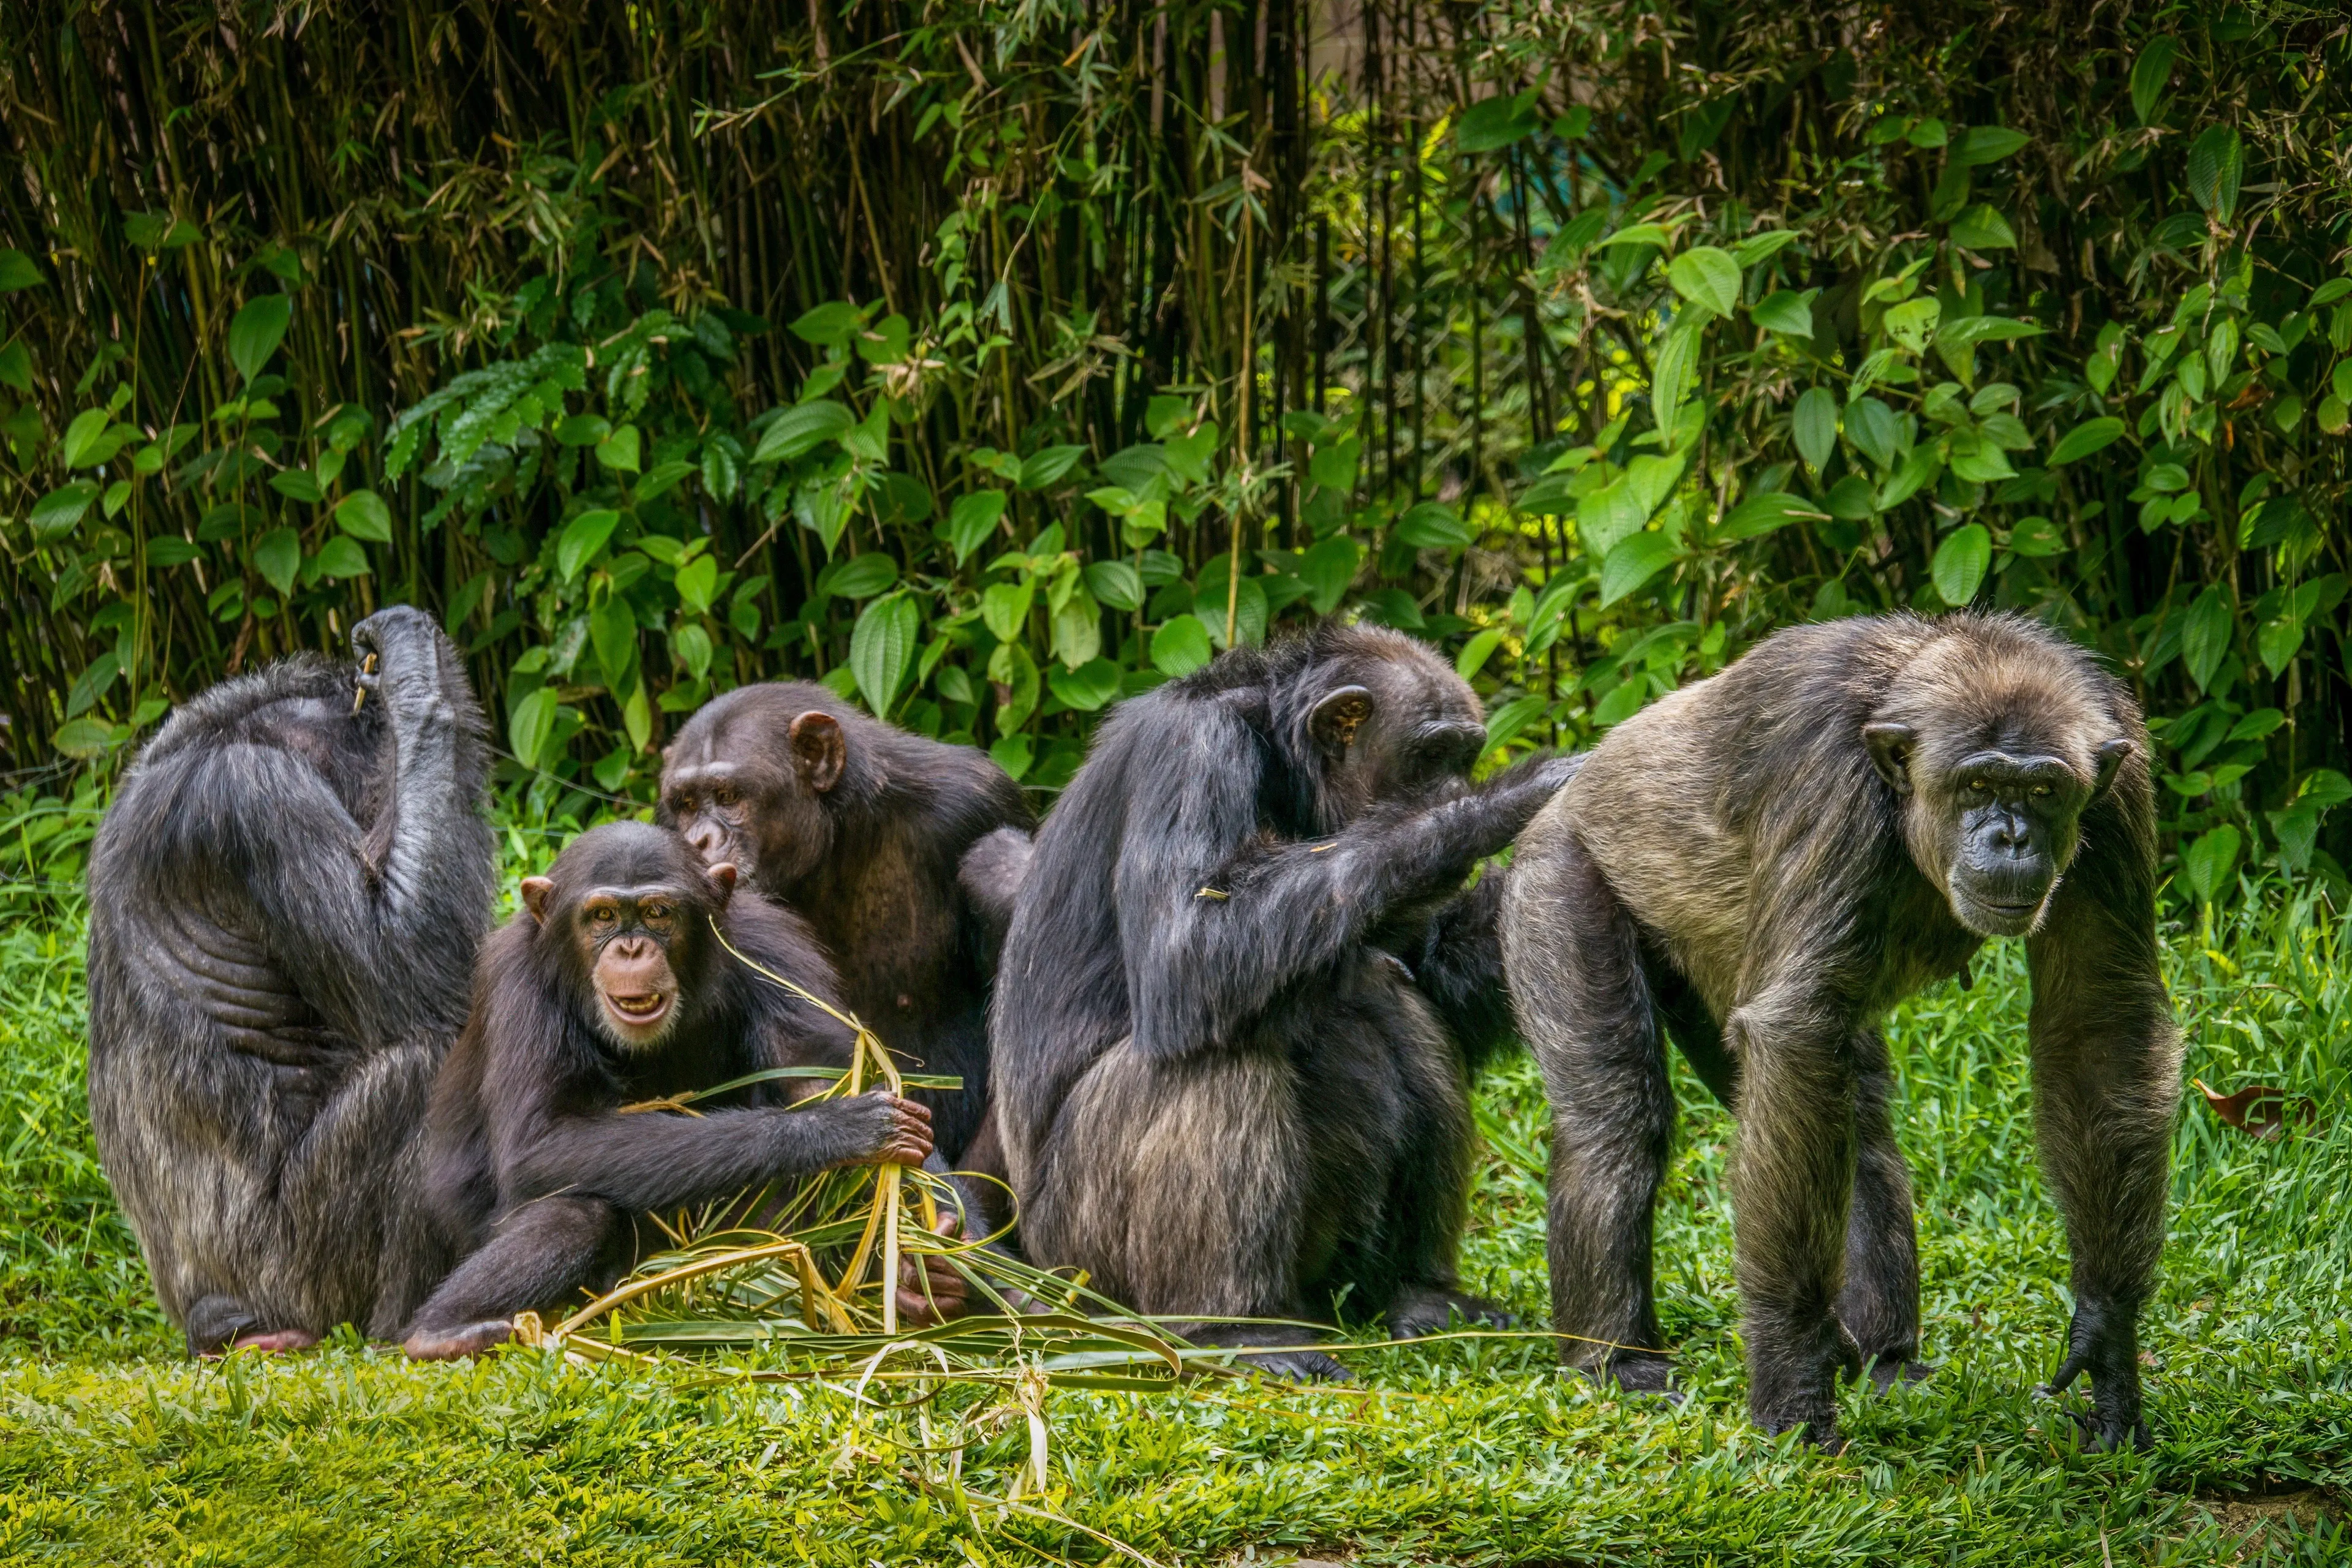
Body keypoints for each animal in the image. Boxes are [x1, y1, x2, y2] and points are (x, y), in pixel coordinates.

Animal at [86, 604, 496, 1354]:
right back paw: (422, 1327)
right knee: (426, 1066)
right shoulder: (258, 799)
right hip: (305, 1274)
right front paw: (414, 675)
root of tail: (212, 1317)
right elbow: (405, 965)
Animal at [401, 821, 951, 1360]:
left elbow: (817, 1074)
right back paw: (442, 1332)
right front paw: (834, 1130)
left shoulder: (772, 950)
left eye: (657, 913)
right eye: (602, 916)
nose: (630, 948)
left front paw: (933, 1265)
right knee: (576, 1212)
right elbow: (543, 1140)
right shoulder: (519, 982)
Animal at [990, 622, 1577, 1377]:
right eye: (1430, 757)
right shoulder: (1193, 753)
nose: (1455, 780)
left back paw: (1419, 1293)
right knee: (1218, 1057)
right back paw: (1238, 1329)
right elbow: (1189, 943)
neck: (1277, 757)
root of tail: (1037, 1271)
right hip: (1086, 1264)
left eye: (1462, 754)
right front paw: (1496, 803)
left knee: (1395, 1001)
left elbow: (1439, 968)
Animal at [1502, 611, 2179, 1451]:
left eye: (2044, 790)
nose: (2013, 836)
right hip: (1556, 880)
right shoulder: (1828, 778)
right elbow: (1796, 1028)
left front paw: (2107, 1339)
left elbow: (2097, 1020)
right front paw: (1793, 1380)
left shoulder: (2119, 795)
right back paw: (1615, 1361)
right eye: (1979, 784)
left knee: (1852, 1120)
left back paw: (1886, 1358)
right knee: (1616, 1121)